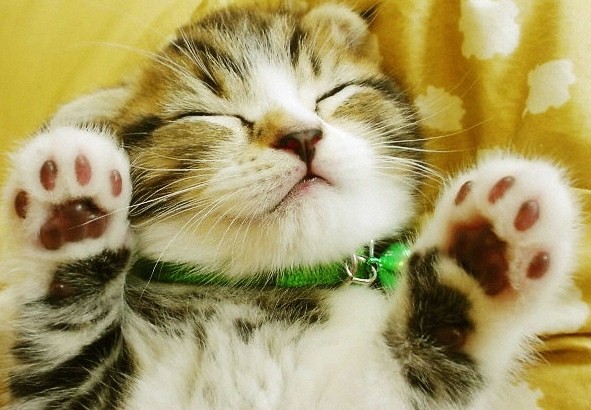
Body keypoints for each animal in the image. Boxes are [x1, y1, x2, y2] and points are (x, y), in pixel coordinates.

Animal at [0, 2, 579, 409]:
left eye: (332, 94)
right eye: (205, 114)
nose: (301, 135)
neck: (276, 297)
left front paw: (482, 252)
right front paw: (71, 207)